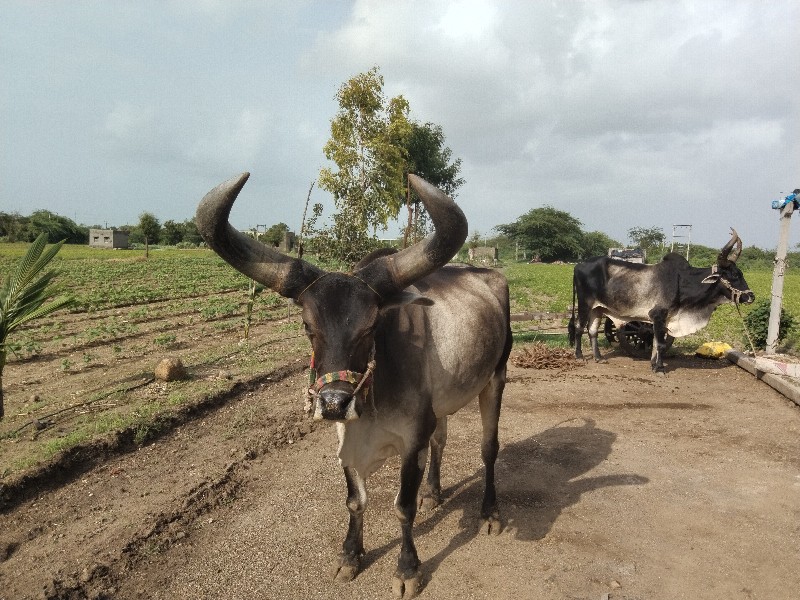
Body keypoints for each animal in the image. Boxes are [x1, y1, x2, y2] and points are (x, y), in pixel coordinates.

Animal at [197, 171, 516, 596]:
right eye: (308, 326)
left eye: (370, 326)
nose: (333, 403)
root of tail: (489, 274)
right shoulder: (350, 437)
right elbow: (355, 499)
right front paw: (350, 555)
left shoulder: (412, 436)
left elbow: (402, 506)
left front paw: (407, 568)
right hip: (445, 401)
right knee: (441, 440)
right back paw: (433, 493)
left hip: (496, 378)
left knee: (488, 448)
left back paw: (489, 512)